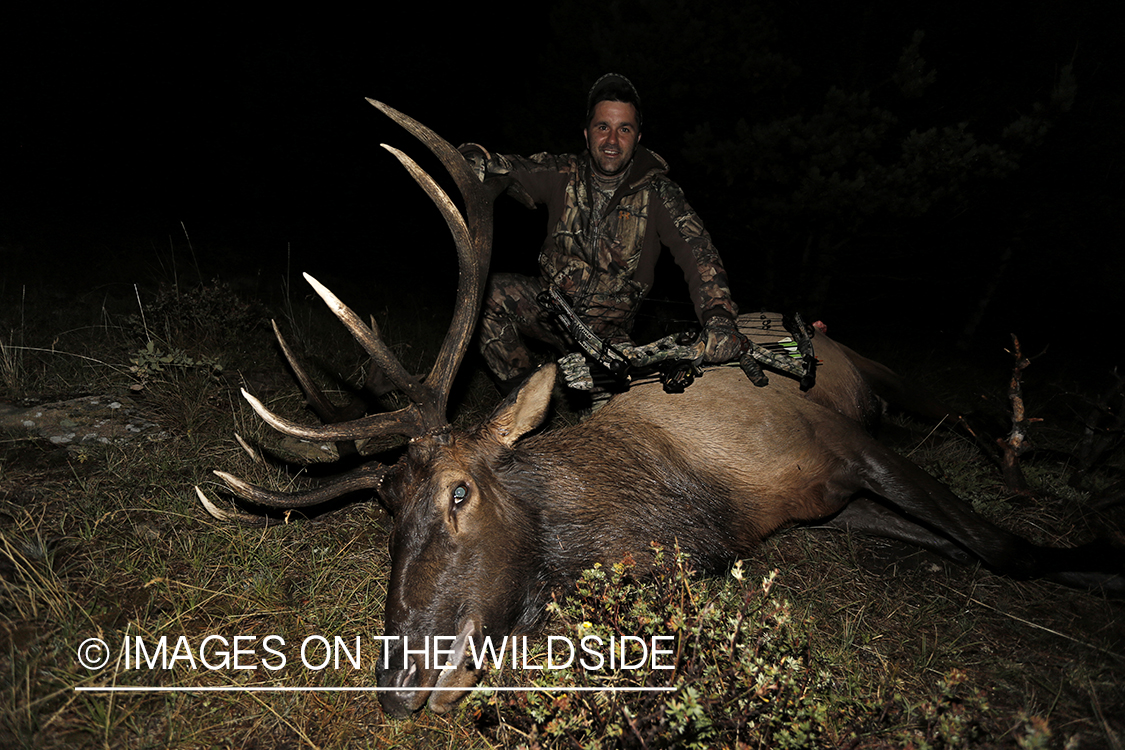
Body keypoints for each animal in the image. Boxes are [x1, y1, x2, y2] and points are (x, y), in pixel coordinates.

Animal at [198, 98, 1120, 715]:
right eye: (385, 510)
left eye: (460, 492)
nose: (396, 686)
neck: (699, 503)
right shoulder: (829, 504)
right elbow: (968, 547)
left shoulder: (839, 440)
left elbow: (1006, 549)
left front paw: (1102, 554)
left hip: (881, 372)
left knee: (962, 413)